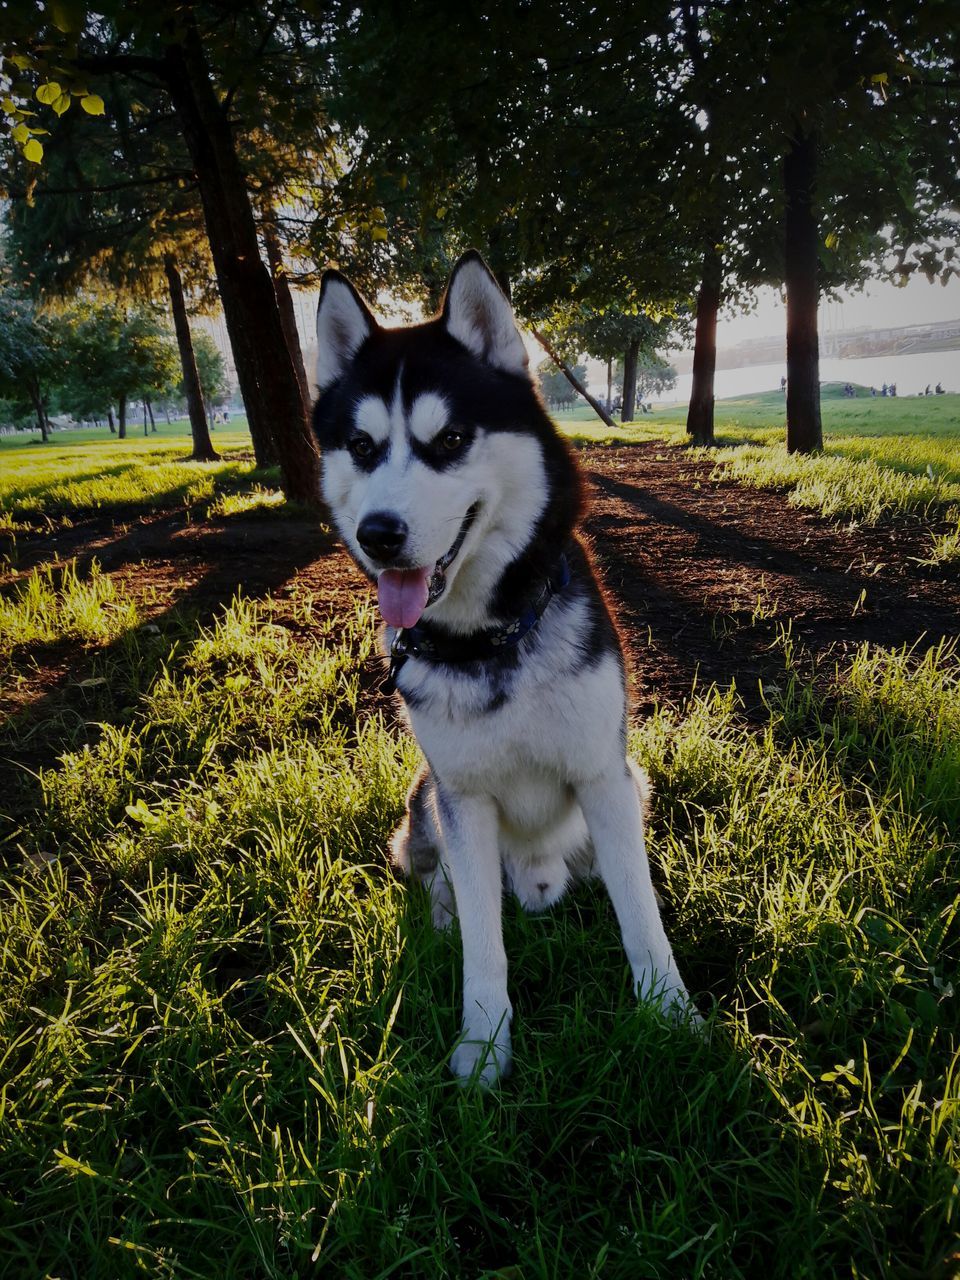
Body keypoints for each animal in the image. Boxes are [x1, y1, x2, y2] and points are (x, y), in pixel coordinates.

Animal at [316, 254, 701, 1085]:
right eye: (360, 445)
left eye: (452, 438)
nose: (380, 534)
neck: (489, 639)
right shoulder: (461, 794)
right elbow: (482, 944)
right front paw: (484, 1043)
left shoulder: (603, 773)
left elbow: (640, 912)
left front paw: (672, 1015)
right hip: (426, 797)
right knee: (440, 880)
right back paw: (442, 915)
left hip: (632, 785)